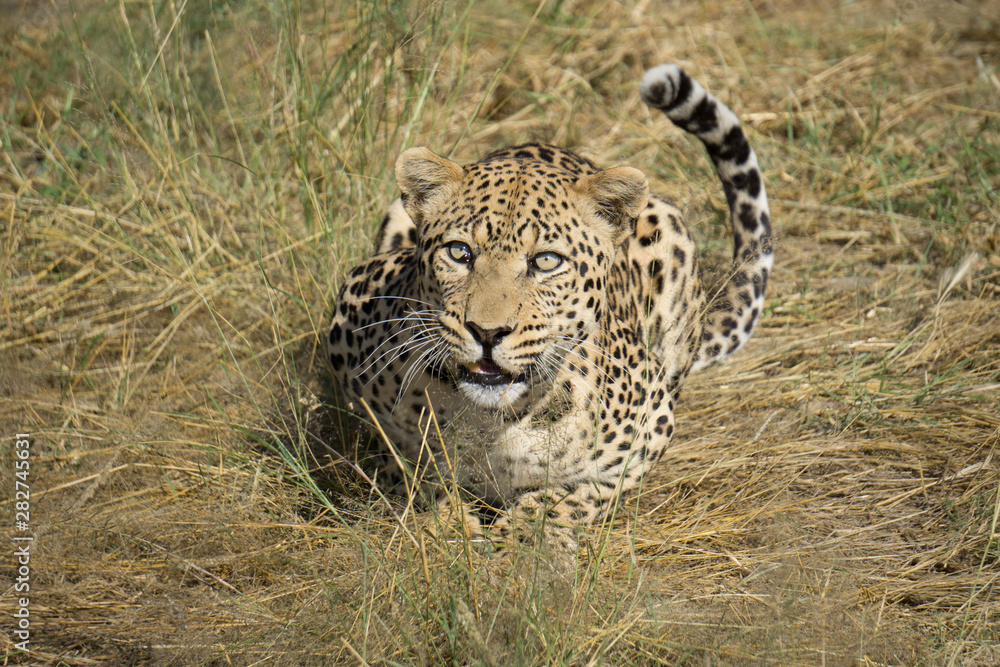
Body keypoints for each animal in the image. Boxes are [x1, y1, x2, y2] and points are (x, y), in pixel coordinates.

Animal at [325, 64, 773, 557]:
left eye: (545, 261)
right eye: (460, 253)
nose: (487, 332)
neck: (492, 423)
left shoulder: (650, 423)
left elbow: (570, 496)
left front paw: (521, 540)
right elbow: (406, 466)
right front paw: (443, 520)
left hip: (668, 240)